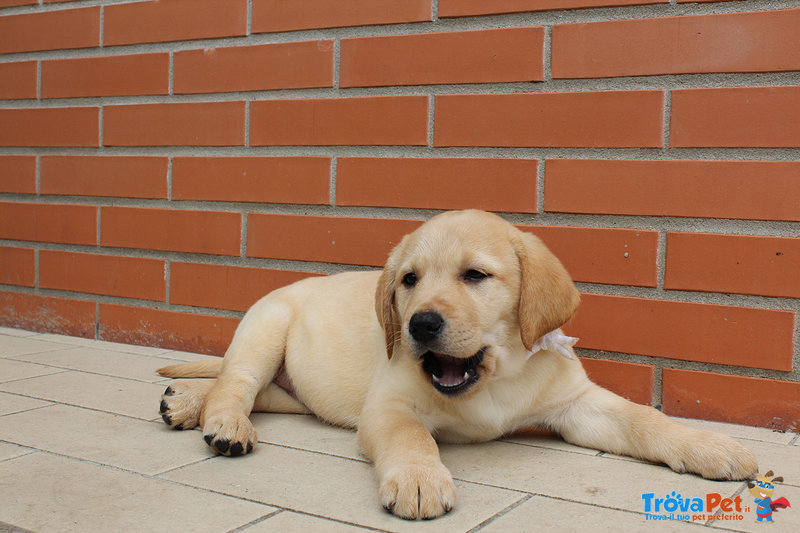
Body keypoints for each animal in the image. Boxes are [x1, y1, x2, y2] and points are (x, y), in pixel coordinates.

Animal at [159, 210, 760, 516]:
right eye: (408, 280)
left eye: (475, 276)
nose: (421, 325)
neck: (492, 382)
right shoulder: (390, 405)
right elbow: (411, 437)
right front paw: (420, 480)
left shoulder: (578, 404)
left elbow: (643, 417)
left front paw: (710, 446)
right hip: (266, 328)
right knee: (235, 383)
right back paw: (220, 422)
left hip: (296, 390)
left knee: (261, 392)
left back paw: (184, 404)